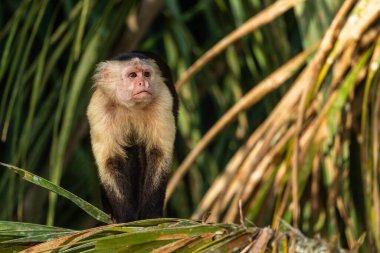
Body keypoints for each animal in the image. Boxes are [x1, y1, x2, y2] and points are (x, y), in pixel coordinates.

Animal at [87, 52, 178, 222]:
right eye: (133, 75)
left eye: (146, 74)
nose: (143, 82)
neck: (130, 107)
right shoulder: (99, 107)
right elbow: (111, 161)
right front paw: (126, 218)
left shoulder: (163, 99)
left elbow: (158, 154)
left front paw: (151, 215)